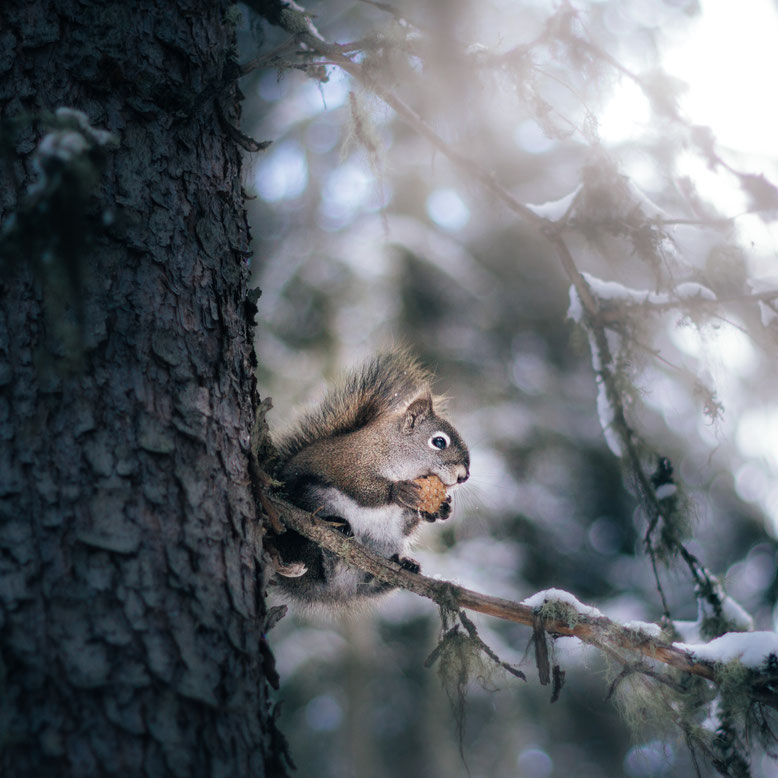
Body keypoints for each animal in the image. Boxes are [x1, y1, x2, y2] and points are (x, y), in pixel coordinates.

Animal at [270, 348, 470, 608]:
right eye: (439, 441)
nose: (464, 476)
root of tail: (334, 591)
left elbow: (411, 519)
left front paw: (441, 509)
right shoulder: (352, 464)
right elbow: (360, 487)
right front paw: (398, 492)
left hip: (384, 543)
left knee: (370, 583)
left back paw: (401, 565)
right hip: (312, 497)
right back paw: (336, 528)